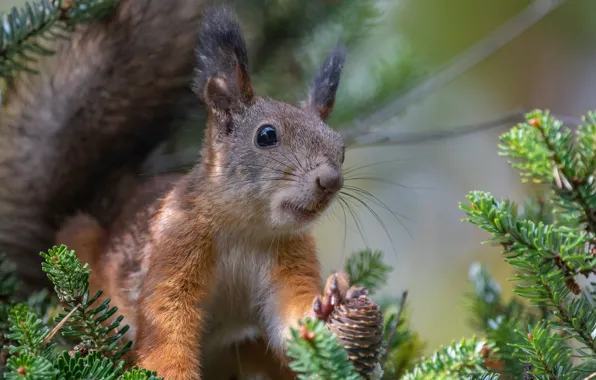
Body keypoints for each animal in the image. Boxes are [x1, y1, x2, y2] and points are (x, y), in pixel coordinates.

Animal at [57, 4, 364, 378]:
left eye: (341, 149)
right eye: (266, 136)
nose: (330, 181)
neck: (246, 228)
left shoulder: (292, 257)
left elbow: (290, 319)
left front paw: (330, 302)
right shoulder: (175, 245)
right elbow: (166, 325)